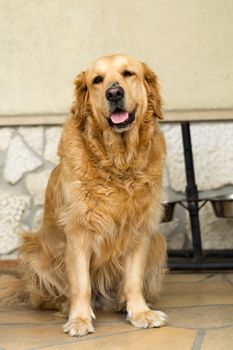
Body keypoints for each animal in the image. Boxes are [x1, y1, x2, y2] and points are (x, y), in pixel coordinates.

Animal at [0, 54, 167, 336]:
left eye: (128, 73)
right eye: (97, 79)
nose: (114, 92)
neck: (118, 162)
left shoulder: (140, 229)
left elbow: (133, 280)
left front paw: (140, 312)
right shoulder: (78, 232)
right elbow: (81, 284)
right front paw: (79, 319)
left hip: (158, 243)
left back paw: (121, 303)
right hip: (35, 251)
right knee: (50, 296)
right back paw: (66, 306)